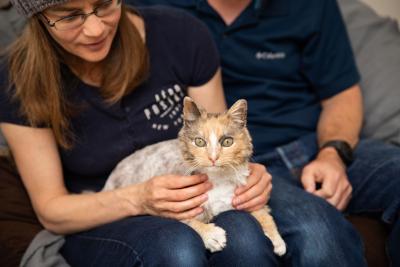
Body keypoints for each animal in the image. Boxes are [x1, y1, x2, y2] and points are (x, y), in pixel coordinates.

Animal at [101, 97, 286, 256]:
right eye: (199, 142)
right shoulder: (172, 205)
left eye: (227, 141)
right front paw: (211, 234)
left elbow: (261, 211)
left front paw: (276, 237)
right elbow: (189, 220)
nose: (213, 157)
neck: (217, 180)